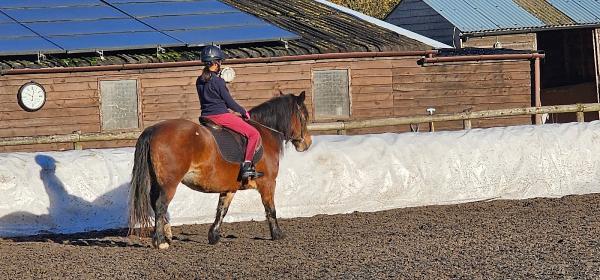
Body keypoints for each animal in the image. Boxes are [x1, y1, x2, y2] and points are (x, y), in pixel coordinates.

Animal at [128, 91, 312, 248]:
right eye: (304, 116)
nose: (307, 143)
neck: (264, 132)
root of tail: (152, 130)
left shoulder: (230, 187)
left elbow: (222, 210)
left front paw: (214, 236)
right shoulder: (268, 182)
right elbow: (270, 209)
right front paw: (277, 234)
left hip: (157, 181)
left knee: (156, 204)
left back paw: (166, 236)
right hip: (169, 183)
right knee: (160, 205)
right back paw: (161, 242)